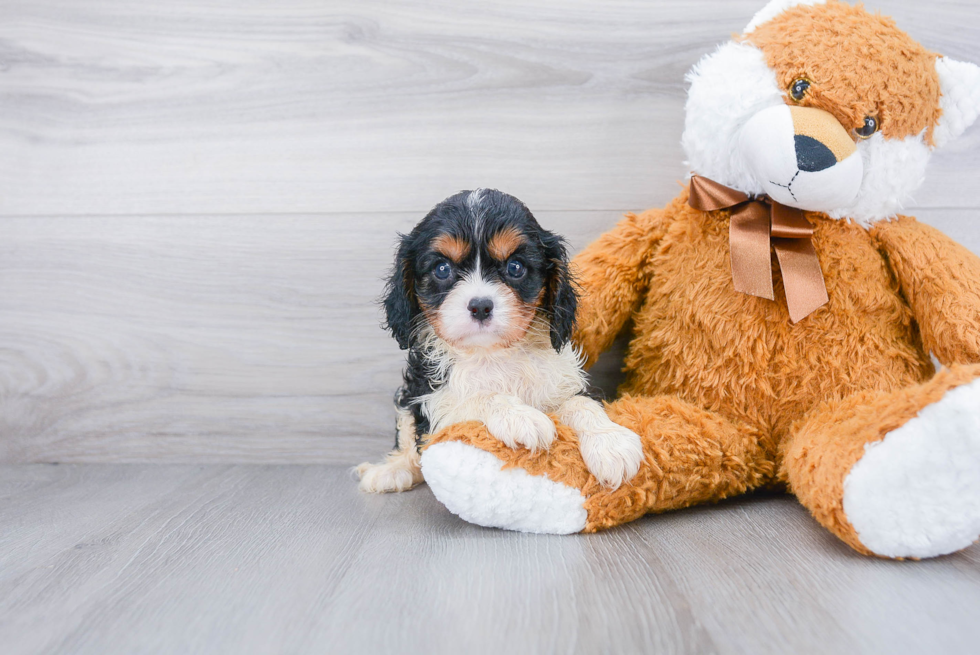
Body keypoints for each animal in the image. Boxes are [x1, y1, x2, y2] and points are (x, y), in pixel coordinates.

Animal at [352, 192, 644, 494]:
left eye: (515, 267)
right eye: (442, 269)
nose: (480, 306)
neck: (493, 353)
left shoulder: (561, 382)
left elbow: (580, 403)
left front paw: (610, 442)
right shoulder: (432, 400)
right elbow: (478, 397)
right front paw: (521, 418)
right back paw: (391, 471)